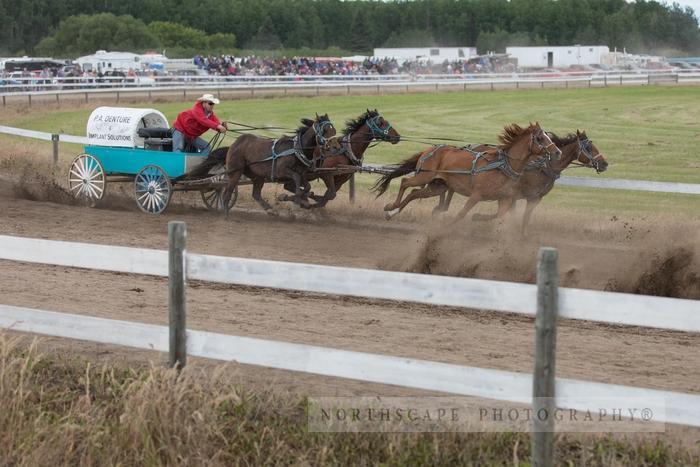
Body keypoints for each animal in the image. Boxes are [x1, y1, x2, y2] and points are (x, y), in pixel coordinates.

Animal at [374, 122, 560, 225]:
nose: (557, 152)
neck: (501, 167)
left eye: (548, 137)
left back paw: (393, 212)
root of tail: (430, 149)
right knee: (405, 182)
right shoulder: (476, 195)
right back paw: (391, 207)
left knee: (414, 193)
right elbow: (461, 214)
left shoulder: (505, 198)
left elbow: (500, 215)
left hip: (438, 186)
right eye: (540, 138)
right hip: (424, 175)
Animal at [438, 130, 608, 234]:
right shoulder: (520, 195)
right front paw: (479, 217)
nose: (604, 163)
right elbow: (508, 214)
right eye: (589, 147)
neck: (543, 167)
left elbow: (521, 217)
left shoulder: (533, 198)